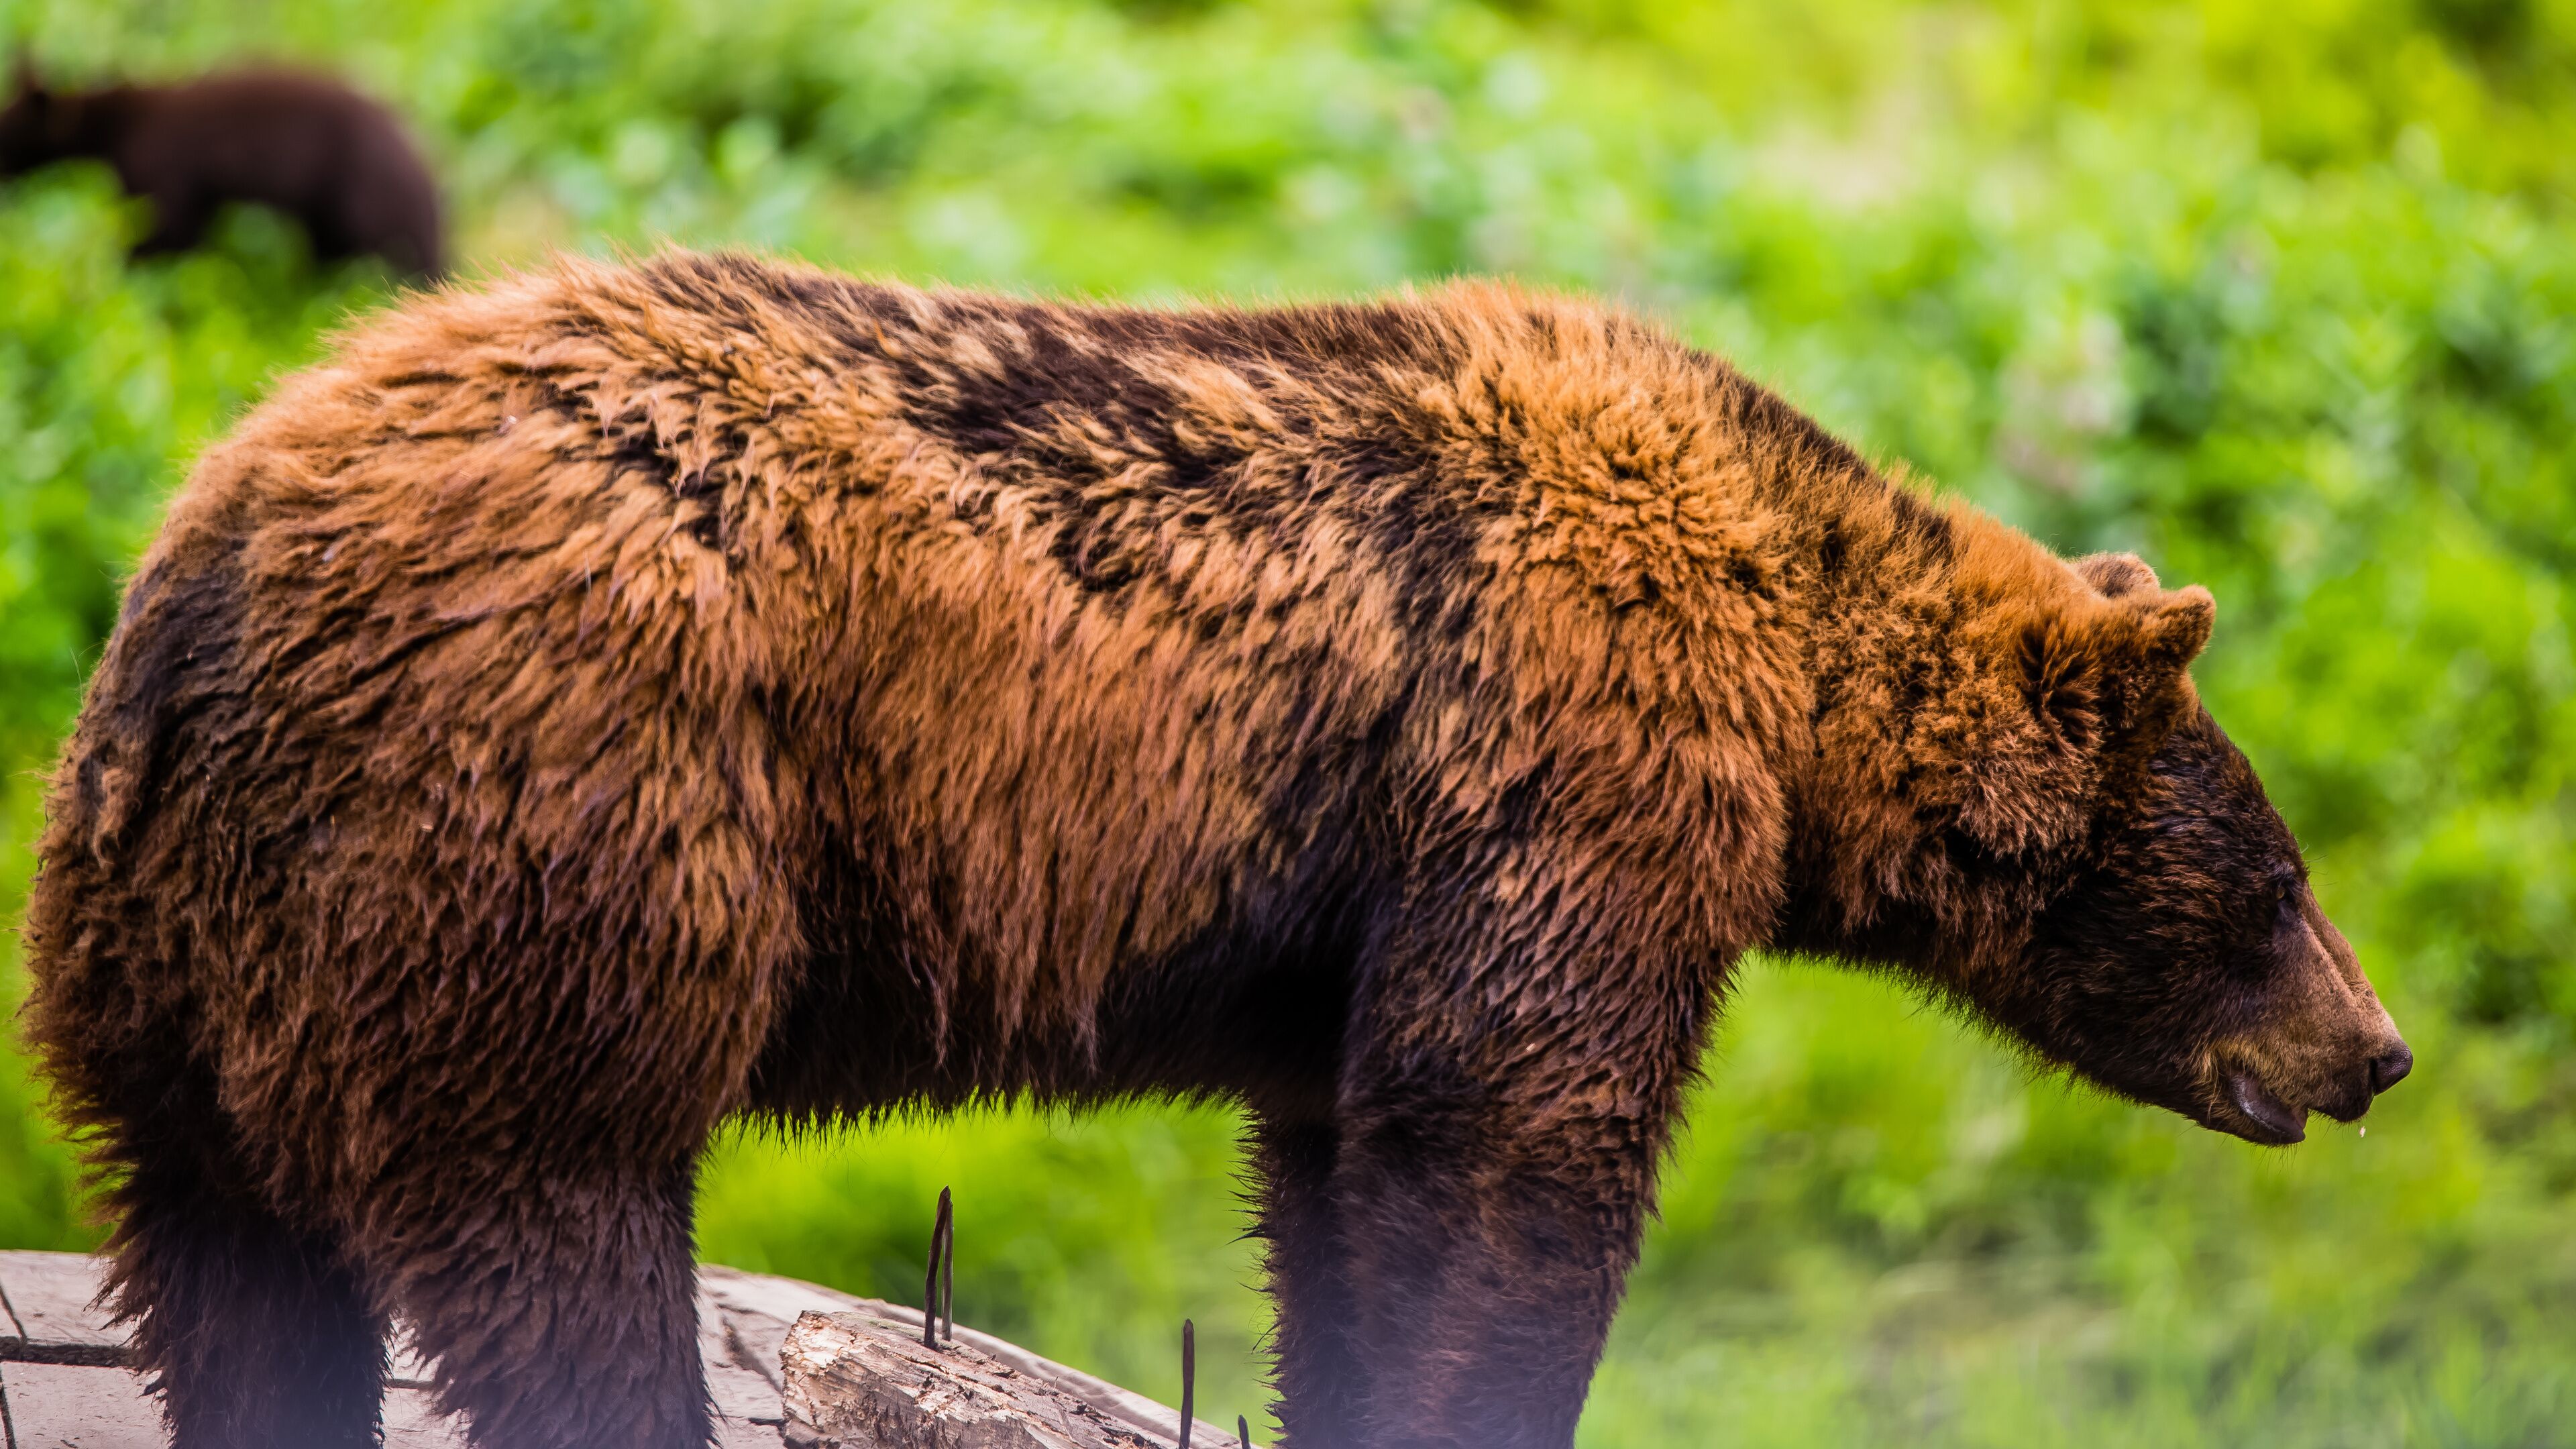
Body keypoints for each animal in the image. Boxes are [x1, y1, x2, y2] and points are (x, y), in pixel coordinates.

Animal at [19, 252, 2411, 1449]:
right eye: (2285, 881)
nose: (2373, 1051)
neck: (1789, 685)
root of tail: (214, 573)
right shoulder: (1562, 761)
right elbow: (1519, 1136)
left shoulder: (1346, 936)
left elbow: (1353, 1170)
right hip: (561, 821)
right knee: (557, 1216)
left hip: (166, 955)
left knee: (233, 1272)